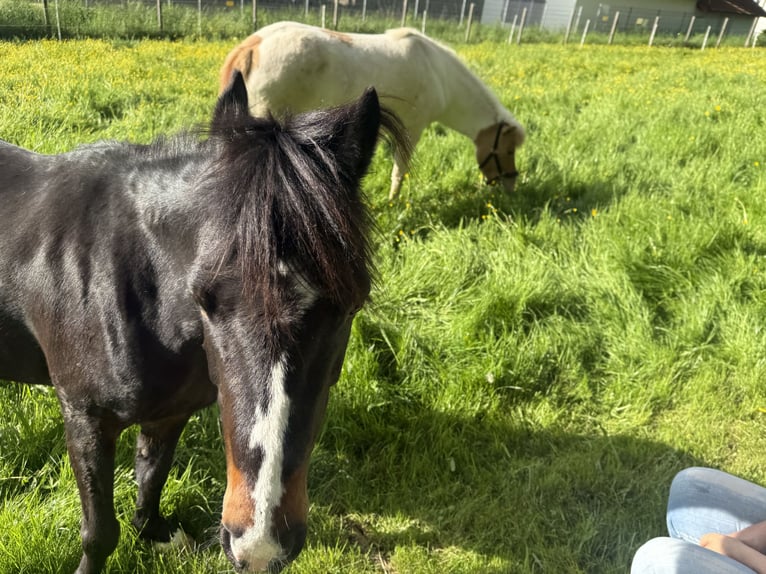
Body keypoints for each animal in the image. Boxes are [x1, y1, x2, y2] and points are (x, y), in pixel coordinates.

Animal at [0, 72, 408, 573]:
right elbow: (99, 531)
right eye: (204, 298)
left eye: (349, 307)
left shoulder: (171, 411)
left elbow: (151, 475)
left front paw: (157, 533)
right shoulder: (84, 417)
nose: (259, 544)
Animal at [218, 21, 525, 200]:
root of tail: (252, 46)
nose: (511, 186)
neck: (438, 72)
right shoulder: (412, 129)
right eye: (508, 150)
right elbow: (400, 170)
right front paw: (392, 203)